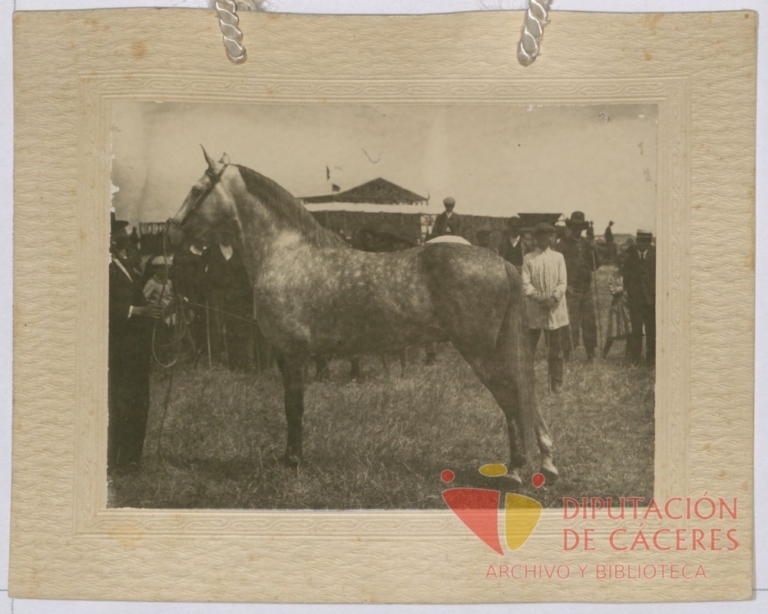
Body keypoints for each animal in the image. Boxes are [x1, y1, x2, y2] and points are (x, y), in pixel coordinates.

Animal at [168, 148, 558, 486]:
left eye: (197, 189)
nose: (173, 229)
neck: (287, 254)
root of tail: (502, 262)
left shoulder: (292, 352)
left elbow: (293, 406)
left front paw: (292, 460)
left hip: (482, 352)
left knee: (512, 398)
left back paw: (516, 470)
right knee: (525, 398)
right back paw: (545, 465)